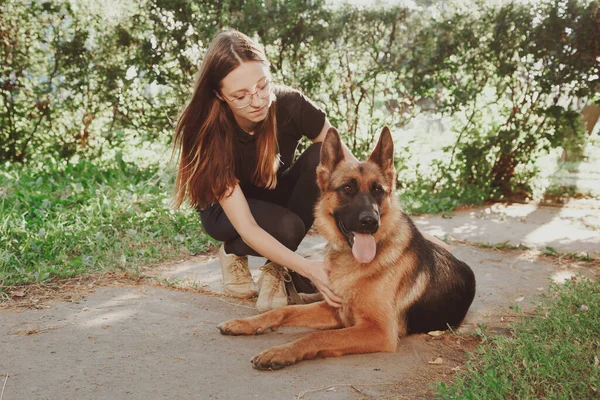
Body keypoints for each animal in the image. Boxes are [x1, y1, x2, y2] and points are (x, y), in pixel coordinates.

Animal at [218, 126, 476, 370]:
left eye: (378, 190)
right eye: (347, 189)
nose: (370, 221)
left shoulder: (379, 331)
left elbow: (316, 338)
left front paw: (280, 352)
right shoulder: (336, 310)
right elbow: (282, 312)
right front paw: (245, 324)